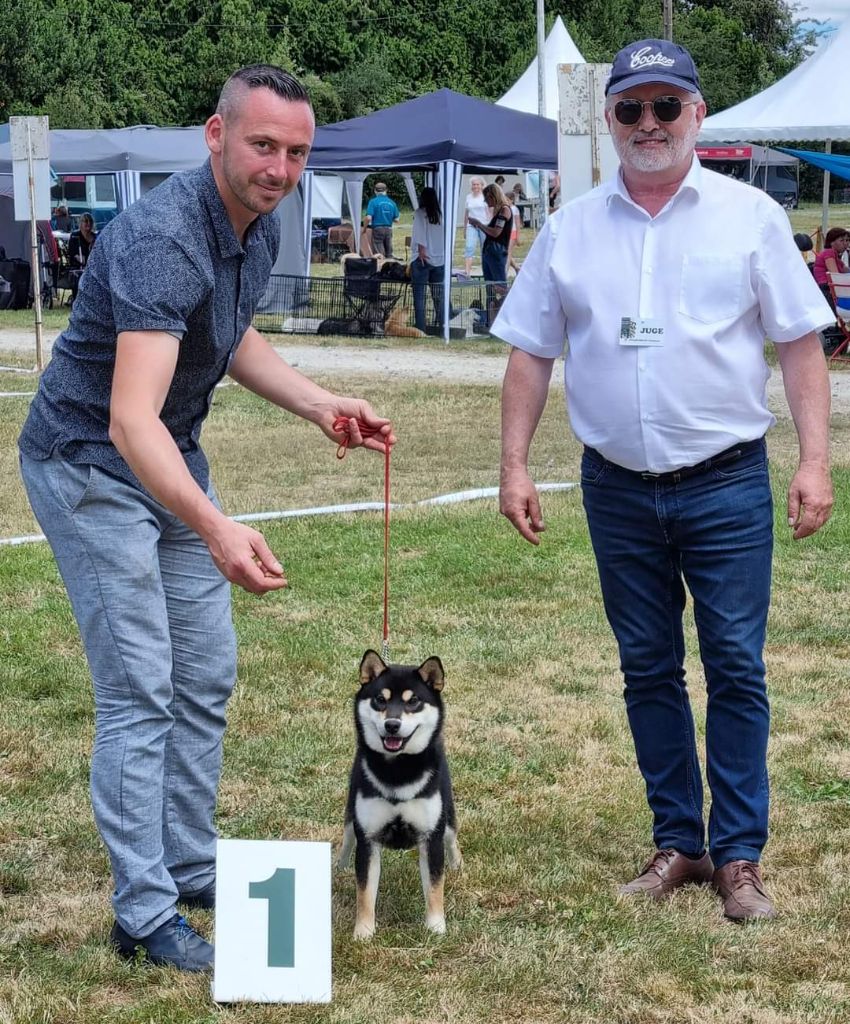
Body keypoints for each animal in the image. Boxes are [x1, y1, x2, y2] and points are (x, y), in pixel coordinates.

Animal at [337, 651, 462, 937]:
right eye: (380, 700)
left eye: (413, 701)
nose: (392, 725)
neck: (397, 770)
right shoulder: (368, 837)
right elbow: (365, 892)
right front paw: (363, 932)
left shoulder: (431, 837)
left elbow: (435, 887)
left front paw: (436, 927)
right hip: (351, 815)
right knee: (347, 838)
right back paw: (339, 867)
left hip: (447, 816)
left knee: (453, 839)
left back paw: (458, 865)